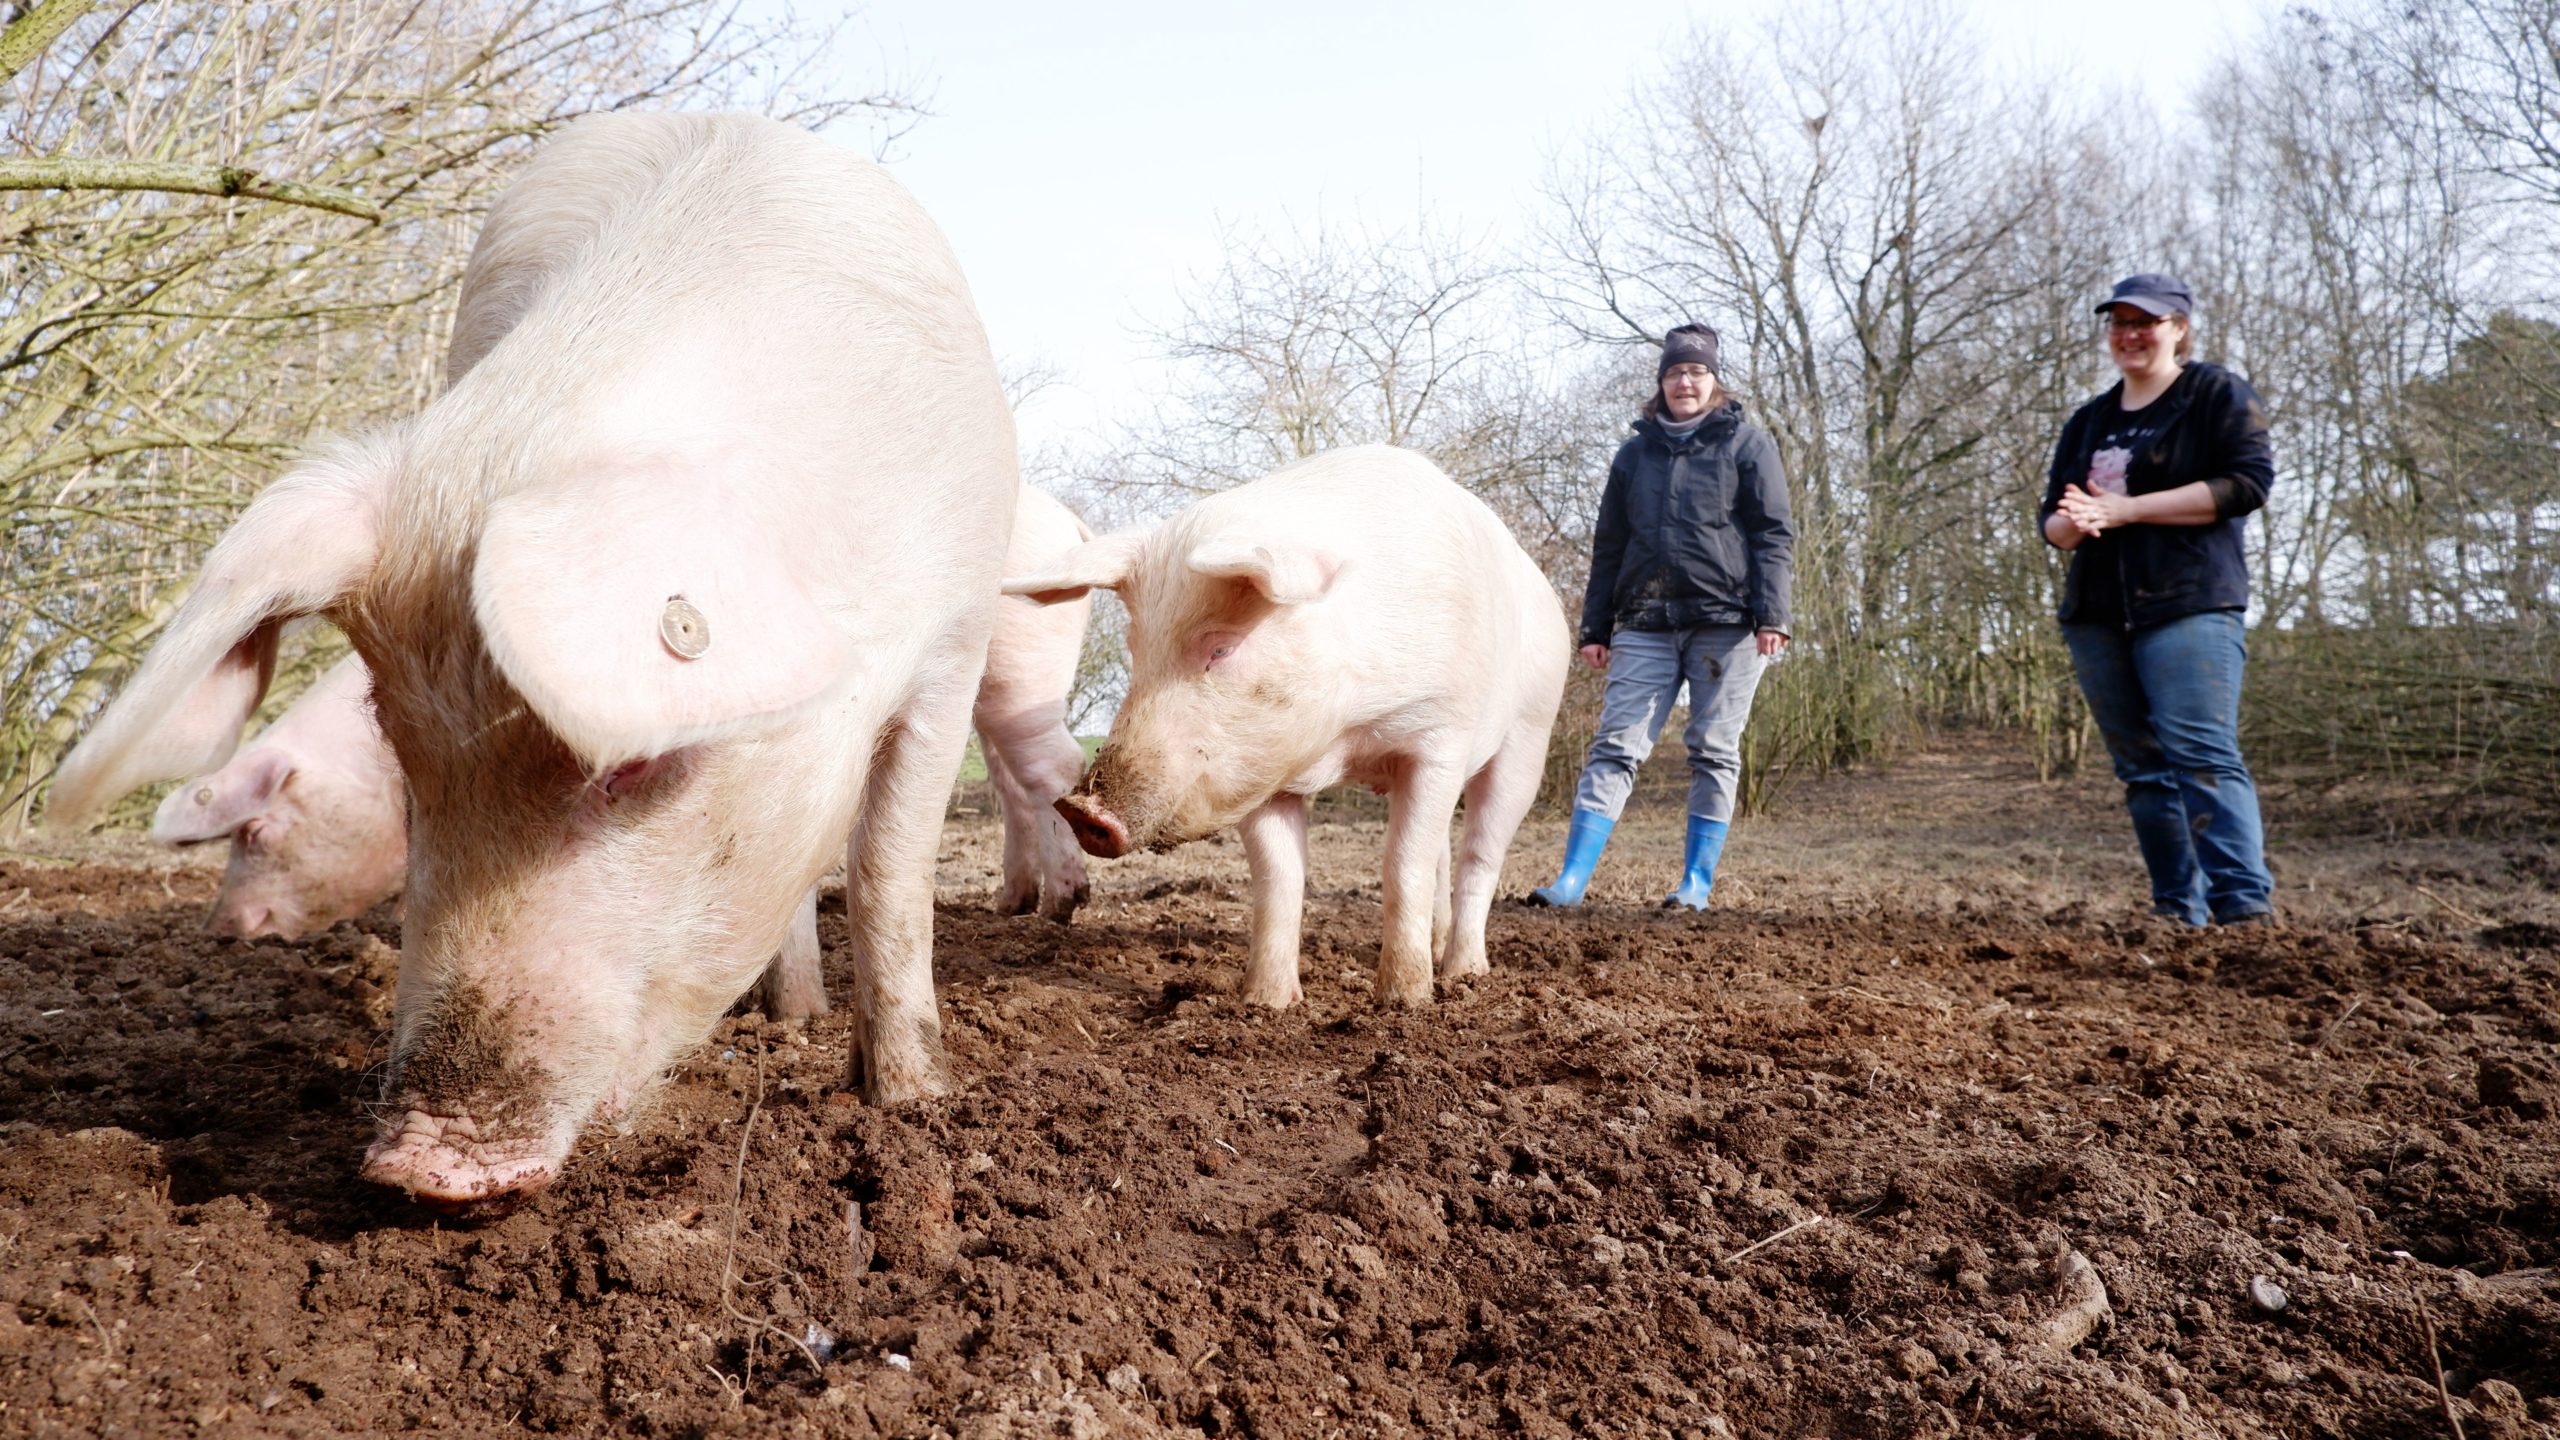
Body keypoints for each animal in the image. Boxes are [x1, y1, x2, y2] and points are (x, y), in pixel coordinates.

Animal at [1003, 443, 1566, 1004]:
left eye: (1222, 649)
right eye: (1136, 647)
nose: (1081, 809)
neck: (1346, 735)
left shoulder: (1439, 736)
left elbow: (1403, 865)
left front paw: (1403, 1001)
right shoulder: (1258, 770)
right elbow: (1279, 878)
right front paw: (1265, 1003)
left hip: (1530, 734)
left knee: (1479, 857)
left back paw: (1463, 974)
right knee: (1444, 858)